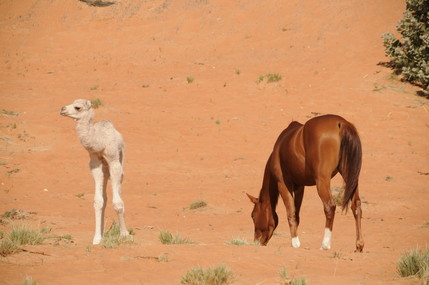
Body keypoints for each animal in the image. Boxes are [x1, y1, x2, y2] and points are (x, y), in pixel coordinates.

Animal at [59, 98, 129, 243]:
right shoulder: (94, 163)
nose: (62, 109)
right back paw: (102, 232)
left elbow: (117, 202)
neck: (100, 142)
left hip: (121, 161)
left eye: (78, 107)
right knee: (105, 197)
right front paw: (97, 238)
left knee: (119, 189)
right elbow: (98, 201)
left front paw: (125, 234)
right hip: (105, 169)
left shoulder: (114, 161)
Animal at [246, 113, 362, 251]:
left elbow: (291, 213)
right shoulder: (299, 187)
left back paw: (325, 244)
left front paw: (295, 242)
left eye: (253, 215)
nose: (257, 242)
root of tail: (341, 123)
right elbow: (297, 214)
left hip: (322, 180)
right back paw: (359, 244)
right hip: (350, 177)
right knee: (356, 205)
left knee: (330, 206)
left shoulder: (283, 184)